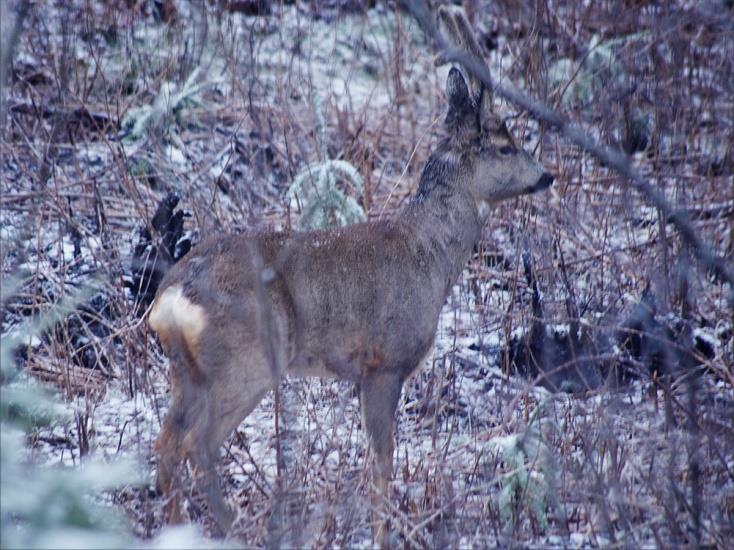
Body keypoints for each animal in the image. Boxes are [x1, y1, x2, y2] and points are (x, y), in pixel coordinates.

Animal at [150, 6, 552, 544]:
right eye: (505, 145)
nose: (546, 175)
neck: (429, 253)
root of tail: (173, 296)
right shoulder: (384, 362)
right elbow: (381, 463)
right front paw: (384, 536)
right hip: (246, 359)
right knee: (198, 444)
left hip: (187, 370)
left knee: (166, 442)